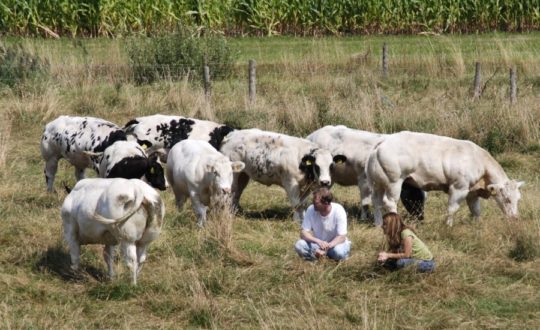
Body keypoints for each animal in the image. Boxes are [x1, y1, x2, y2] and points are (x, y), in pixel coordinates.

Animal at [362, 131, 524, 227]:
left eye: (518, 199)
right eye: (507, 199)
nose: (516, 218)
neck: (479, 161)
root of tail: (384, 141)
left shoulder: (472, 192)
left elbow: (476, 210)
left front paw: (477, 225)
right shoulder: (459, 188)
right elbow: (452, 208)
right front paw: (448, 226)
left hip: (377, 184)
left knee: (376, 202)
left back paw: (378, 224)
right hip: (394, 182)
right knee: (389, 203)